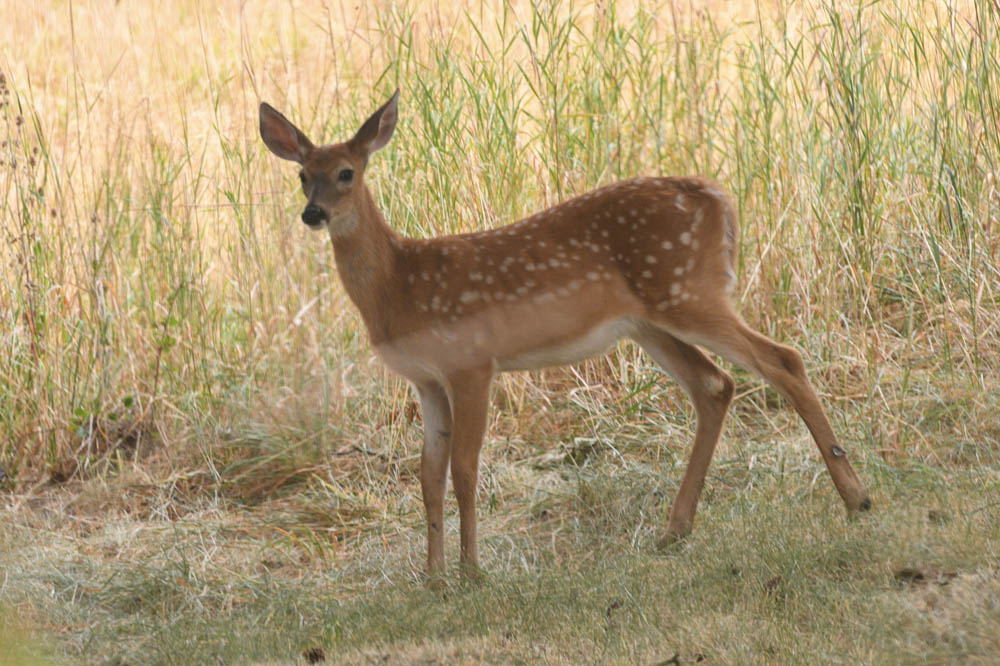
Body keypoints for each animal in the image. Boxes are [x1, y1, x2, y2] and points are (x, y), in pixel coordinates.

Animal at [259, 89, 871, 582]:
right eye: (302, 175)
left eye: (347, 173)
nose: (314, 213)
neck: (400, 286)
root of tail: (717, 196)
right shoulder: (426, 380)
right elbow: (428, 475)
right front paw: (431, 578)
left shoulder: (471, 362)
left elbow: (464, 468)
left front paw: (471, 571)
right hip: (649, 321)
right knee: (715, 385)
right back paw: (675, 529)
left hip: (687, 290)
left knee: (783, 359)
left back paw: (856, 499)